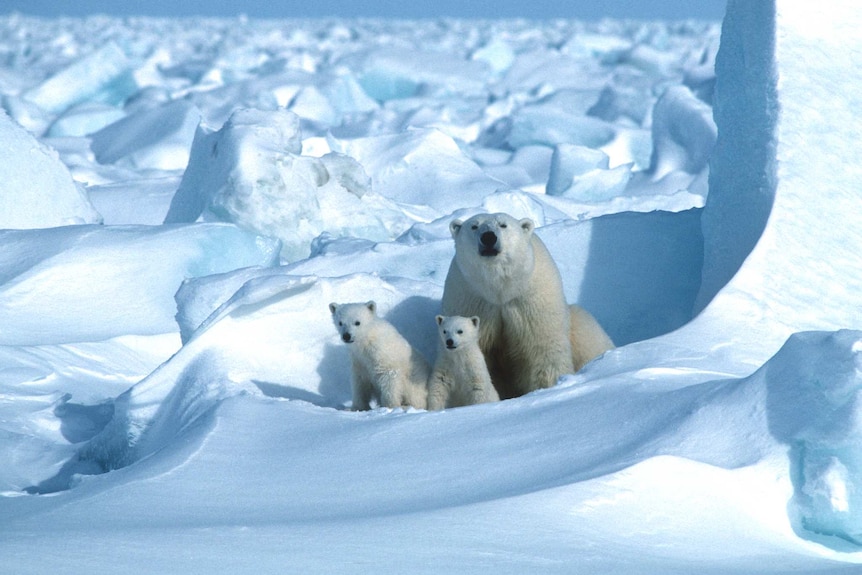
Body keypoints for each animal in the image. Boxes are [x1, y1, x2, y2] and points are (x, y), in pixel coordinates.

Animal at [446, 213, 616, 400]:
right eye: (474, 226)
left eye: (503, 225)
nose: (489, 237)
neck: (500, 290)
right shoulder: (473, 300)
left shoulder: (531, 300)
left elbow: (542, 349)